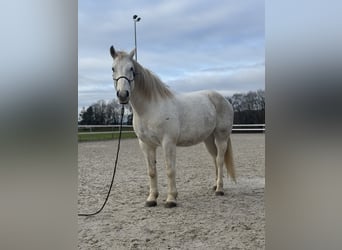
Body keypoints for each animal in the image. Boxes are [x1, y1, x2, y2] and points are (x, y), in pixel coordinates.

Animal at [109, 46, 235, 208]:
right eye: (113, 68)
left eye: (131, 68)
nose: (123, 95)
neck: (150, 108)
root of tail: (224, 99)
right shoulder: (146, 145)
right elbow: (151, 171)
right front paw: (151, 199)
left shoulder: (168, 142)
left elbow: (170, 170)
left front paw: (171, 199)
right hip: (208, 139)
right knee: (214, 159)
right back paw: (215, 185)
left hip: (221, 137)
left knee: (219, 160)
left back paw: (219, 189)